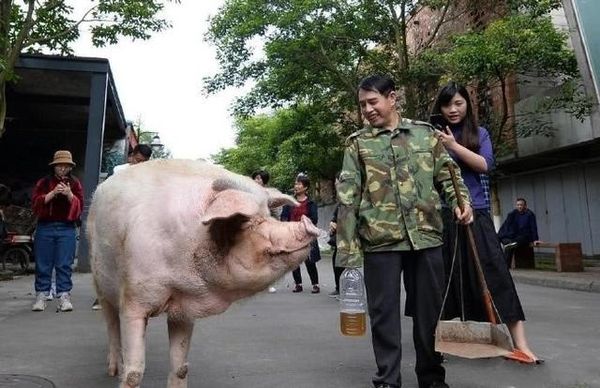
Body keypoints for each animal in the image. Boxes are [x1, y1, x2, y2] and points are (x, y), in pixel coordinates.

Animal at [86, 158, 318, 388]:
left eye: (269, 216)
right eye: (248, 222)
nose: (309, 223)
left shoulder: (184, 307)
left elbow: (181, 368)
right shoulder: (133, 299)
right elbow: (134, 374)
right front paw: (126, 374)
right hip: (99, 281)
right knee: (111, 323)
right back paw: (113, 371)